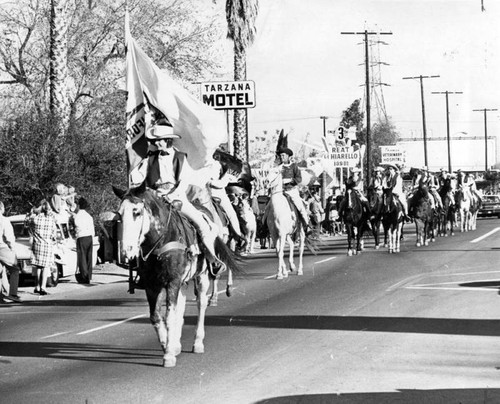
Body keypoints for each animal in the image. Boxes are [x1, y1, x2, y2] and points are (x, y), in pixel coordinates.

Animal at [112, 185, 241, 368]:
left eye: (137, 212)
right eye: (119, 215)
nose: (125, 251)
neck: (161, 241)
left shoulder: (172, 282)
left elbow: (170, 316)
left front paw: (168, 355)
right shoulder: (153, 284)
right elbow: (156, 316)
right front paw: (167, 344)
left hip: (201, 277)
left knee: (201, 303)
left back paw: (197, 342)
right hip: (183, 281)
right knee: (181, 307)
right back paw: (177, 344)